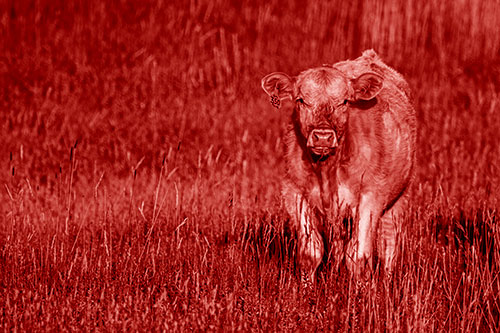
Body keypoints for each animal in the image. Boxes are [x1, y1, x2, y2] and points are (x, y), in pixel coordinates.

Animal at [260, 49, 416, 278]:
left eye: (344, 101)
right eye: (301, 100)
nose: (323, 137)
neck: (327, 171)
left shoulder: (371, 197)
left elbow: (359, 256)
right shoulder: (295, 193)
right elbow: (310, 253)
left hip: (401, 195)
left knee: (389, 243)